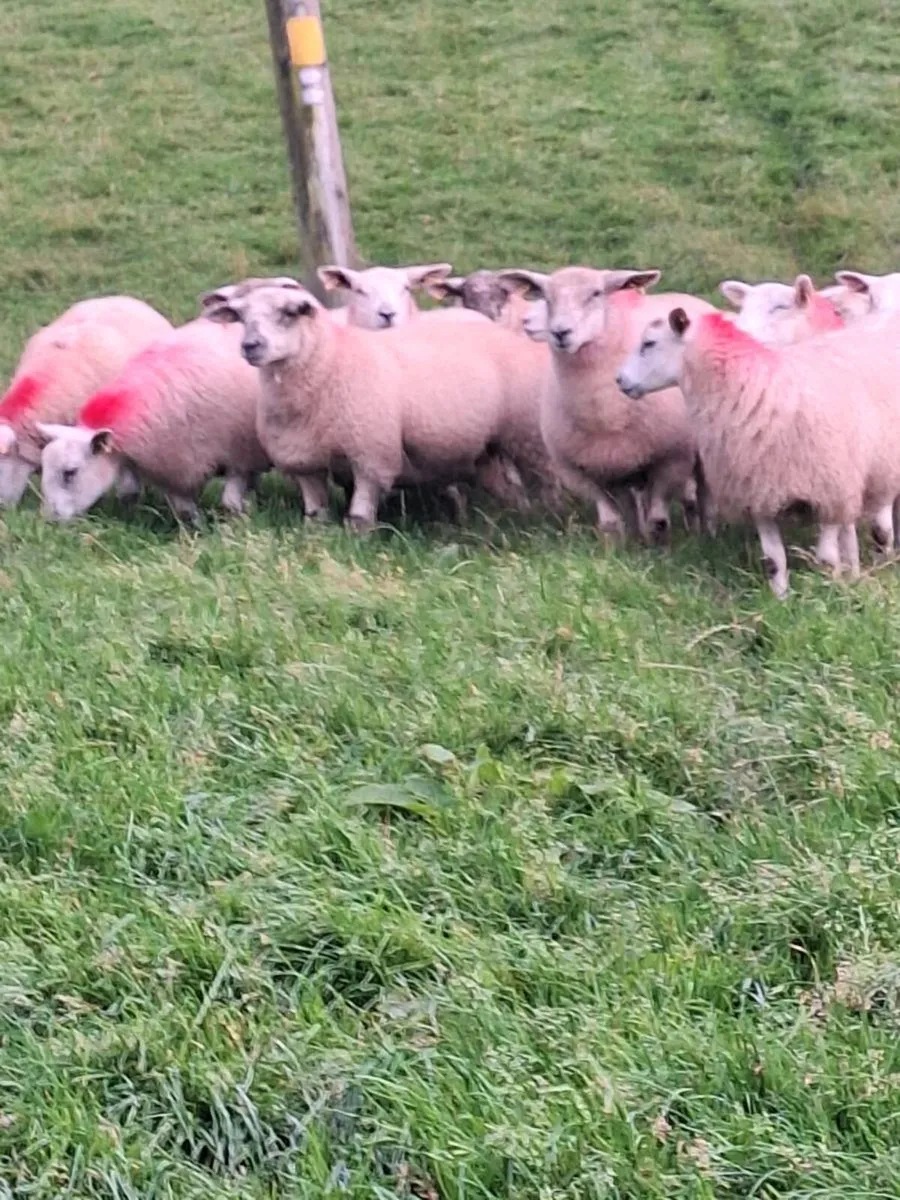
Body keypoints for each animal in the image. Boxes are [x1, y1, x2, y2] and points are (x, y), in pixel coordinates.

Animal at [38, 316, 267, 523]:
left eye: (70, 473)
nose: (49, 521)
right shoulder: (174, 469)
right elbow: (184, 511)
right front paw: (196, 531)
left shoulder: (241, 454)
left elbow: (230, 502)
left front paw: (236, 525)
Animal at [200, 277, 552, 529]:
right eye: (240, 317)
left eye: (289, 314)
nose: (250, 345)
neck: (330, 362)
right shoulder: (303, 460)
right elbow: (315, 516)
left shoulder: (371, 453)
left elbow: (359, 518)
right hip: (486, 448)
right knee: (508, 488)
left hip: (529, 436)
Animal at [497, 266, 716, 541]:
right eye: (547, 297)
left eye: (596, 293)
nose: (560, 333)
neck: (604, 413)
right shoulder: (583, 472)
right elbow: (610, 523)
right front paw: (623, 548)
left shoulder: (671, 461)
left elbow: (658, 520)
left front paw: (660, 546)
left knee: (702, 495)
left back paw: (706, 532)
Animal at [616, 307, 900, 597]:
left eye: (649, 343)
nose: (620, 380)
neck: (757, 388)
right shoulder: (760, 495)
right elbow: (774, 561)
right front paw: (780, 599)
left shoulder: (829, 491)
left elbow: (826, 559)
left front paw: (828, 594)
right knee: (849, 527)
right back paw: (854, 572)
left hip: (880, 465)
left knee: (880, 523)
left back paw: (883, 561)